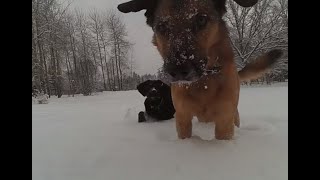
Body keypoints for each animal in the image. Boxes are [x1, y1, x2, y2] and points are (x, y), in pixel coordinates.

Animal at [118, 0, 282, 141]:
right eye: (162, 27)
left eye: (201, 19)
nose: (178, 70)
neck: (204, 82)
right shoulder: (182, 117)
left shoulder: (225, 119)